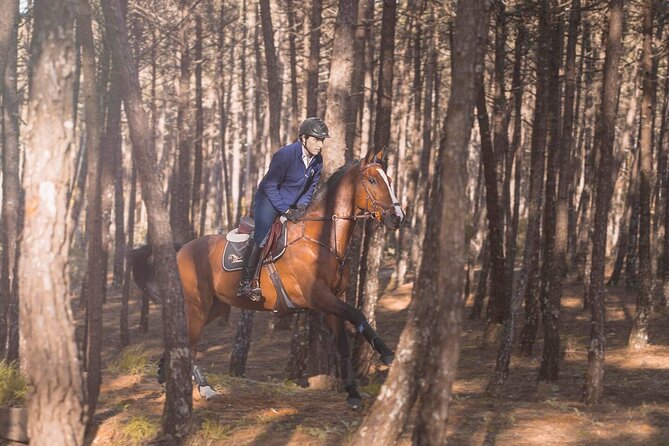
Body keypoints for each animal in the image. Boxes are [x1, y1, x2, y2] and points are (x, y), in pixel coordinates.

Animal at [130, 147, 405, 409]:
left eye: (390, 179)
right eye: (372, 180)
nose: (397, 217)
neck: (321, 239)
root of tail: (182, 250)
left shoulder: (332, 301)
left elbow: (345, 341)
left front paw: (353, 392)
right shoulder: (318, 296)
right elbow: (358, 315)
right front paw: (387, 353)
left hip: (216, 307)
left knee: (184, 339)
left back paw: (169, 373)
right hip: (197, 307)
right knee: (189, 341)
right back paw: (202, 386)